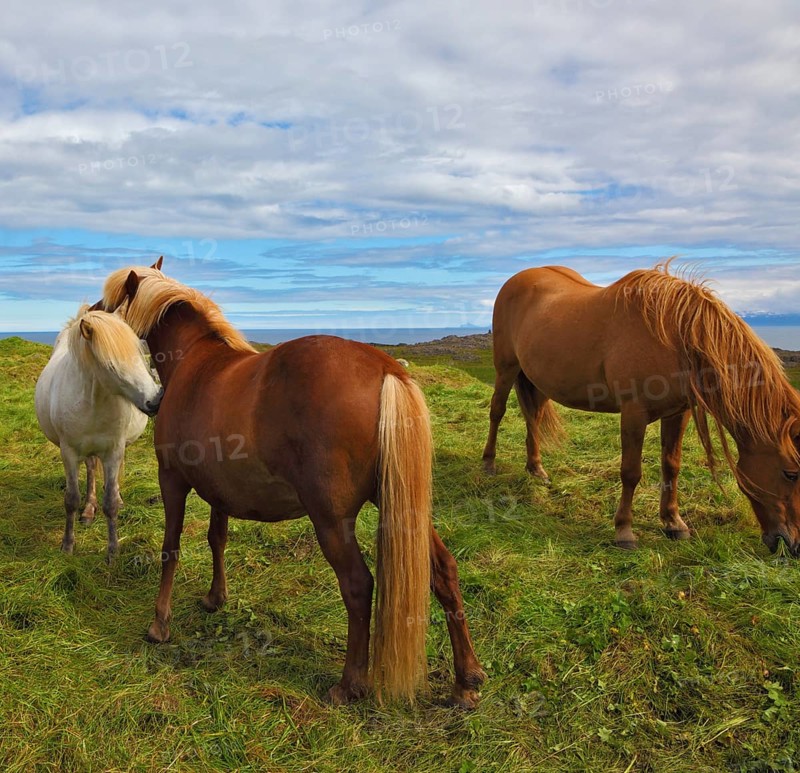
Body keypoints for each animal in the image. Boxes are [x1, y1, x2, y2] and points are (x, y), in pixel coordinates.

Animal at [35, 306, 163, 561]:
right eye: (111, 366)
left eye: (139, 354)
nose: (154, 401)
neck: (92, 400)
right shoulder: (69, 453)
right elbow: (71, 499)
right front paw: (67, 545)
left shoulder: (113, 451)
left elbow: (110, 502)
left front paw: (113, 551)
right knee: (92, 469)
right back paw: (88, 508)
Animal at [94, 262, 485, 707]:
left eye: (111, 302)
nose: (90, 314)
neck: (195, 362)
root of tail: (387, 369)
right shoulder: (219, 490)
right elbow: (216, 539)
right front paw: (215, 598)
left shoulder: (172, 479)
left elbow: (170, 549)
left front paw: (159, 624)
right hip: (403, 507)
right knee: (443, 571)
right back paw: (466, 680)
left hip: (331, 520)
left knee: (357, 585)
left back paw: (350, 684)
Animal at [482, 262, 800, 555]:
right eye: (791, 473)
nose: (794, 545)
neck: (674, 337)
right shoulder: (634, 414)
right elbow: (631, 472)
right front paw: (624, 531)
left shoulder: (678, 413)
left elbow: (671, 466)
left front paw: (673, 523)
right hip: (506, 369)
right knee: (497, 412)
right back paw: (488, 464)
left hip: (538, 381)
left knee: (533, 417)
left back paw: (536, 469)